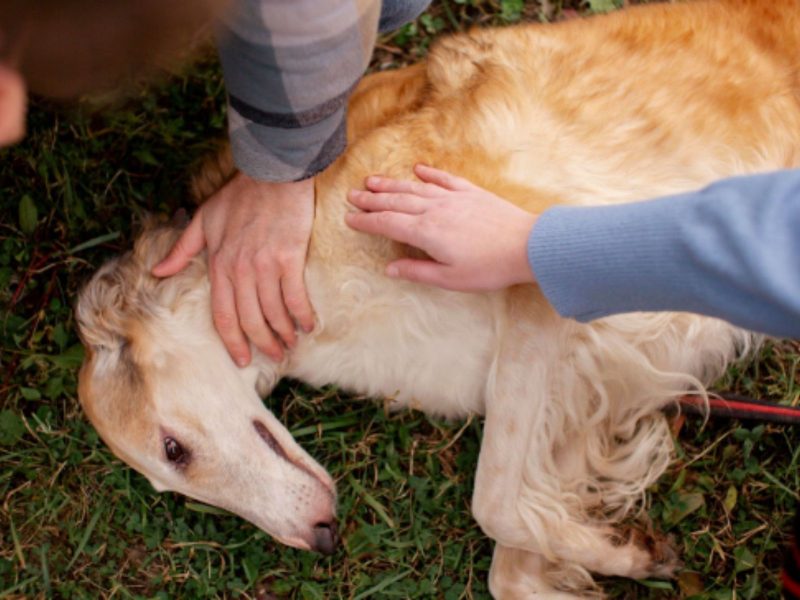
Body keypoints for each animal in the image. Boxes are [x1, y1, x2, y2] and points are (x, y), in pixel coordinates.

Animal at [76, 1, 800, 596]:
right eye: (167, 475)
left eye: (174, 450)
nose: (322, 539)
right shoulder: (583, 384)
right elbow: (513, 565)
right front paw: (612, 552)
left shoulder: (544, 264)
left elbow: (493, 502)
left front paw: (625, 553)